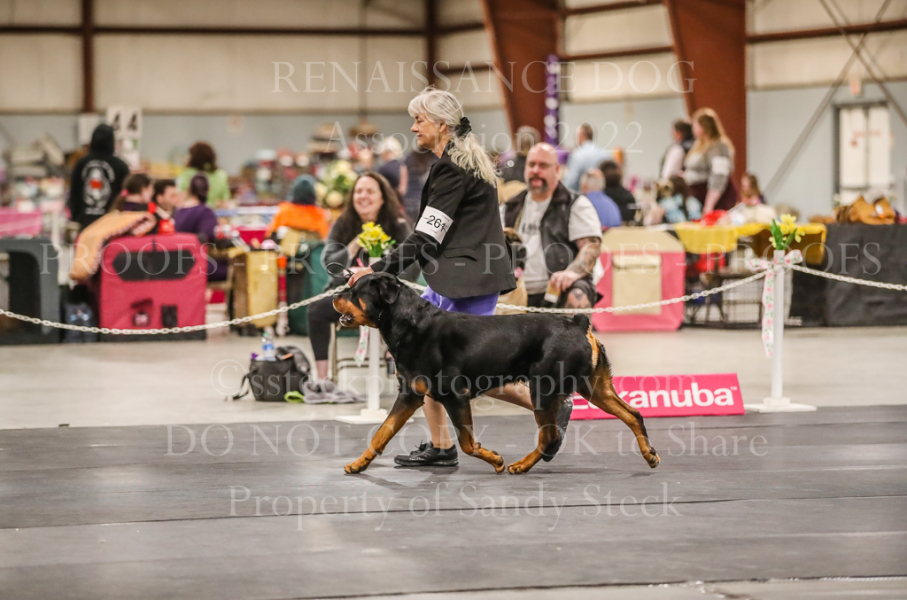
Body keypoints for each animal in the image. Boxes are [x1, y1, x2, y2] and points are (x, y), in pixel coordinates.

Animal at [333, 272, 659, 475]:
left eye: (354, 291)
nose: (334, 295)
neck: (409, 323)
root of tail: (578, 322)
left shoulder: (455, 395)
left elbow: (467, 443)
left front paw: (495, 460)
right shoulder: (411, 394)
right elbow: (382, 433)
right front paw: (358, 464)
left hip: (543, 388)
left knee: (550, 436)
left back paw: (520, 465)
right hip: (594, 386)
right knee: (632, 414)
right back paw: (649, 454)